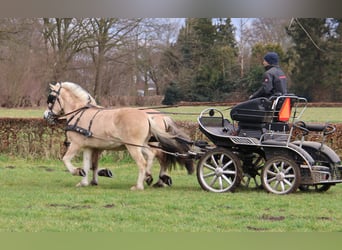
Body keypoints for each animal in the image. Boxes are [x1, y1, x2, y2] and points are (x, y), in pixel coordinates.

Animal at [43, 82, 192, 189]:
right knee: (151, 156)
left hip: (133, 147)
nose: (46, 116)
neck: (79, 113)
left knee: (145, 162)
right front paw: (84, 181)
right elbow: (87, 164)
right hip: (141, 145)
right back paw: (149, 177)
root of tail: (148, 116)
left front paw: (77, 172)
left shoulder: (76, 144)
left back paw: (140, 185)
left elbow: (66, 159)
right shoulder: (89, 147)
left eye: (51, 98)